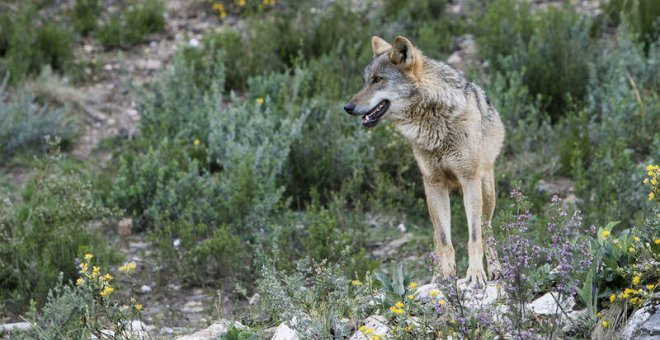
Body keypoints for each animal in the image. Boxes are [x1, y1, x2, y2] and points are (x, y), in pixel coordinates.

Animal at [346, 35, 506, 282]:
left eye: (378, 80)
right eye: (365, 81)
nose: (348, 107)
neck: (434, 120)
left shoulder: (469, 179)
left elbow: (474, 237)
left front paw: (475, 273)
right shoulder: (433, 183)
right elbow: (444, 240)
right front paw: (445, 277)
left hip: (486, 191)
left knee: (486, 231)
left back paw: (496, 271)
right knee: (436, 239)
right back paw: (435, 276)